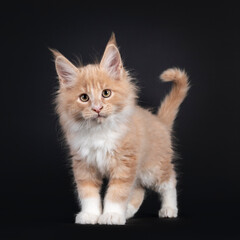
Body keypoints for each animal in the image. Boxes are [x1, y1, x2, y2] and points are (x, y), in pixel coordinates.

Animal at [51, 33, 189, 225]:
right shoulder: (83, 165)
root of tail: (159, 121)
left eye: (106, 93)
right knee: (139, 190)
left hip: (153, 168)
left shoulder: (125, 163)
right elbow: (88, 194)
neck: (99, 132)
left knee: (169, 182)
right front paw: (91, 214)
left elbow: (117, 193)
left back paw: (169, 209)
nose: (97, 108)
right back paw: (128, 211)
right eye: (84, 98)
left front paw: (111, 215)